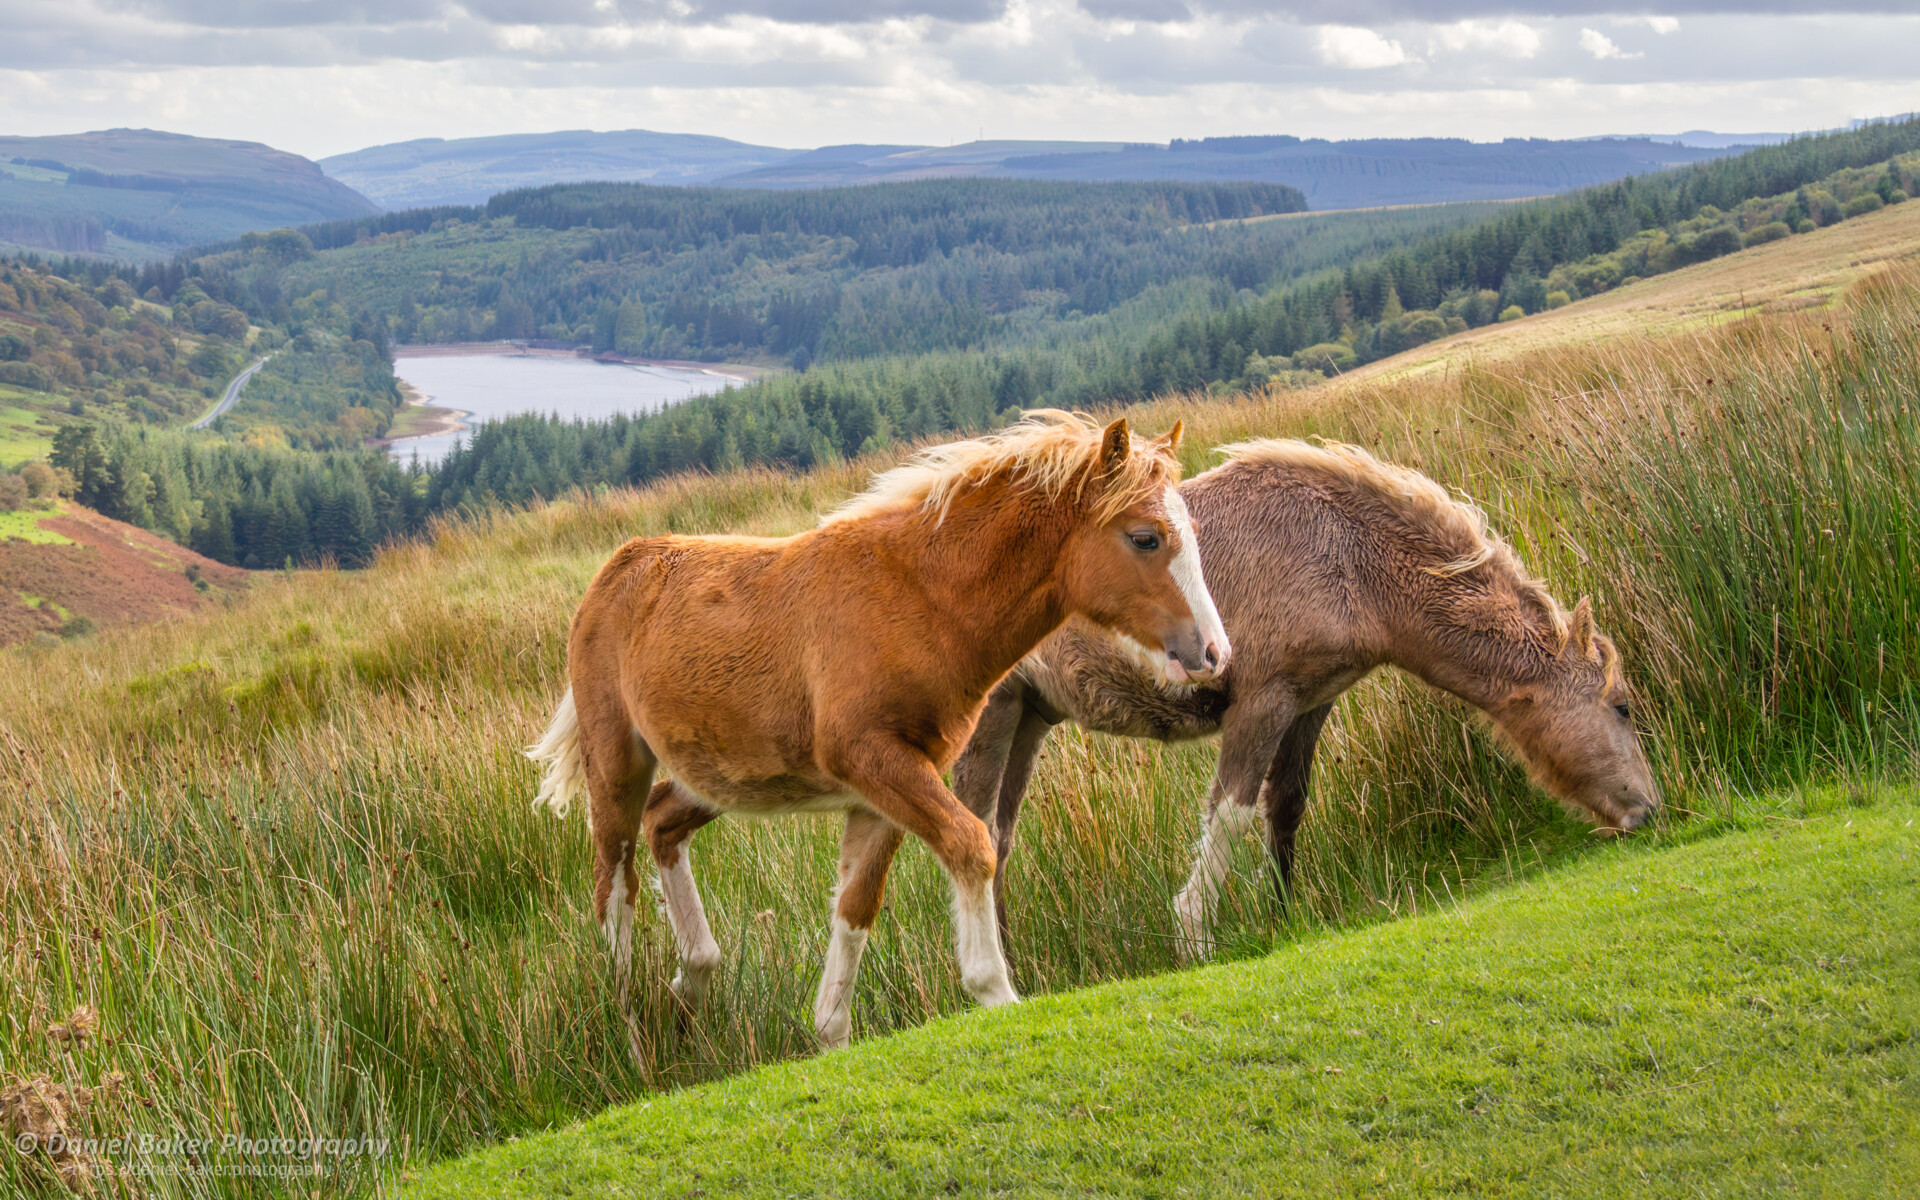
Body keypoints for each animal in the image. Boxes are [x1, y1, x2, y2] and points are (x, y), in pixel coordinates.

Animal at [528, 411, 1231, 1048]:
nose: (1215, 653)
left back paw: (690, 982)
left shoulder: (885, 789)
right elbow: (973, 846)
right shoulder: (873, 761)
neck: (923, 599)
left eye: (1193, 531)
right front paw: (994, 991)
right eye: (1145, 538)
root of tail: (617, 569)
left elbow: (856, 907)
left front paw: (829, 1035)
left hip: (723, 774)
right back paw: (633, 1030)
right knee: (613, 883)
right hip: (616, 764)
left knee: (662, 823)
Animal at [951, 438, 1660, 960]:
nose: (1649, 810)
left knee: (998, 842)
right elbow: (1232, 814)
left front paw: (1284, 915)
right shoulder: (1262, 702)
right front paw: (1196, 936)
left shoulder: (1309, 704)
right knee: (977, 838)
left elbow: (1285, 809)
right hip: (991, 721)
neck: (1345, 554)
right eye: (1623, 706)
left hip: (1027, 720)